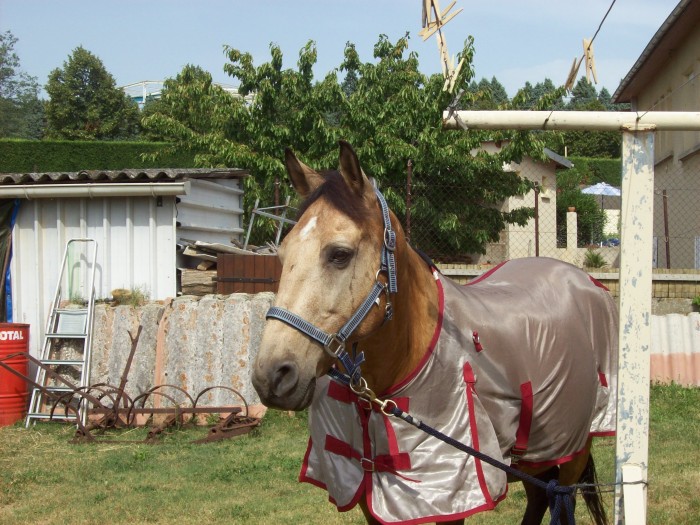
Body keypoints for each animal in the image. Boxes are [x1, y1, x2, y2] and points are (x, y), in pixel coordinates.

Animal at [253, 140, 616, 524]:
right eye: (282, 254)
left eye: (339, 254)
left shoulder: (448, 501)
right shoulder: (369, 500)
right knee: (539, 499)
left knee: (562, 498)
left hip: (574, 450)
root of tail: (586, 281)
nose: (271, 376)